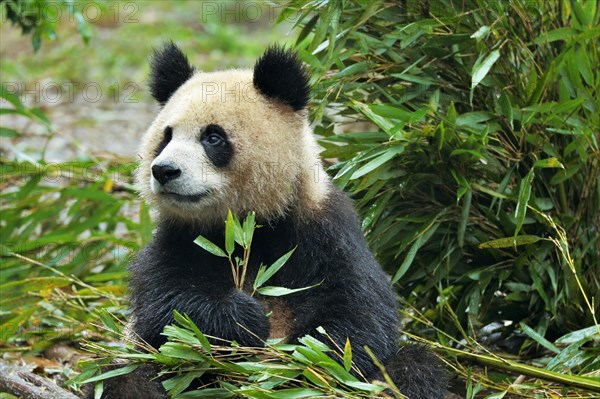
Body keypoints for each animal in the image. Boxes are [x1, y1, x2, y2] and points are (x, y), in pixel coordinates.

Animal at [96, 43, 448, 399]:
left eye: (213, 137)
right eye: (166, 137)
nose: (164, 171)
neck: (246, 224)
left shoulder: (323, 227)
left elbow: (357, 316)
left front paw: (303, 363)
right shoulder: (181, 237)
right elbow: (165, 309)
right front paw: (242, 319)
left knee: (414, 367)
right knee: (124, 378)